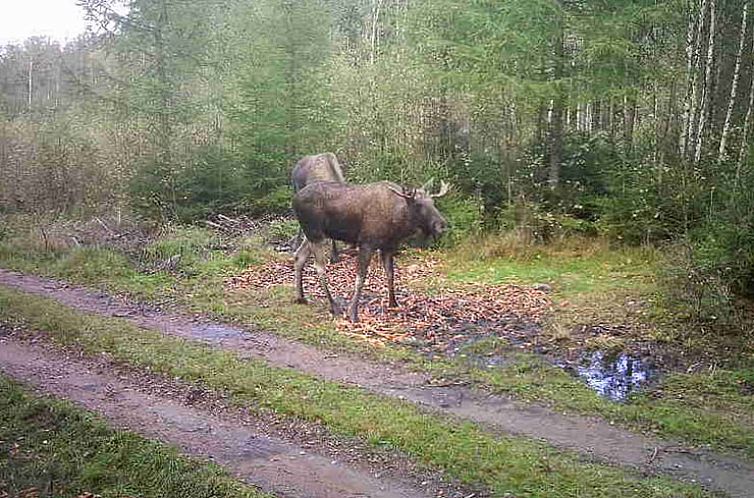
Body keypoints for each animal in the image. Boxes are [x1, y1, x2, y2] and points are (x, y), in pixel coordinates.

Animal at [292, 179, 450, 322]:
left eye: (433, 202)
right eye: (418, 204)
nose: (441, 225)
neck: (398, 223)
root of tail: (294, 200)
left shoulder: (388, 246)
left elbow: (390, 274)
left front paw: (393, 303)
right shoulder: (366, 243)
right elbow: (360, 278)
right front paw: (353, 312)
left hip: (313, 235)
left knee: (299, 256)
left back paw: (301, 297)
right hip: (315, 234)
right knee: (319, 267)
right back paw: (334, 306)